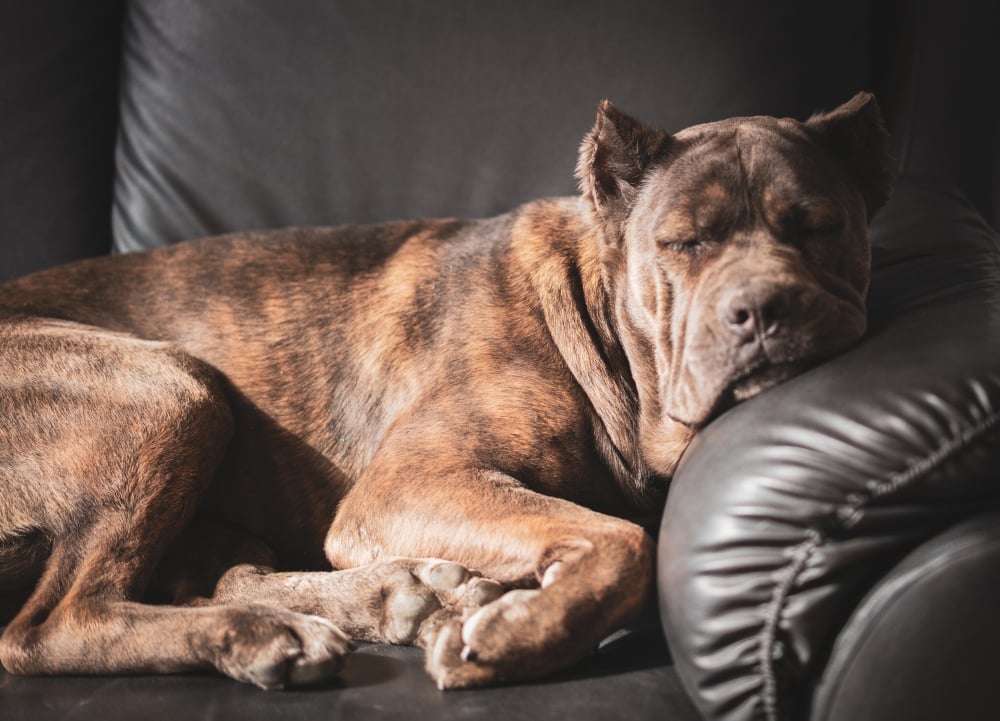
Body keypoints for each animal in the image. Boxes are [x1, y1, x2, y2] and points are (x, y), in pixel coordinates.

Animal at [0, 93, 892, 688]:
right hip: (174, 387)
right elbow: (620, 538)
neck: (601, 329)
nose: (764, 307)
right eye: (686, 242)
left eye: (819, 227)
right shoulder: (412, 480)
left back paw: (385, 597)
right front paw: (522, 633)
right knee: (50, 627)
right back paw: (269, 631)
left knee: (216, 570)